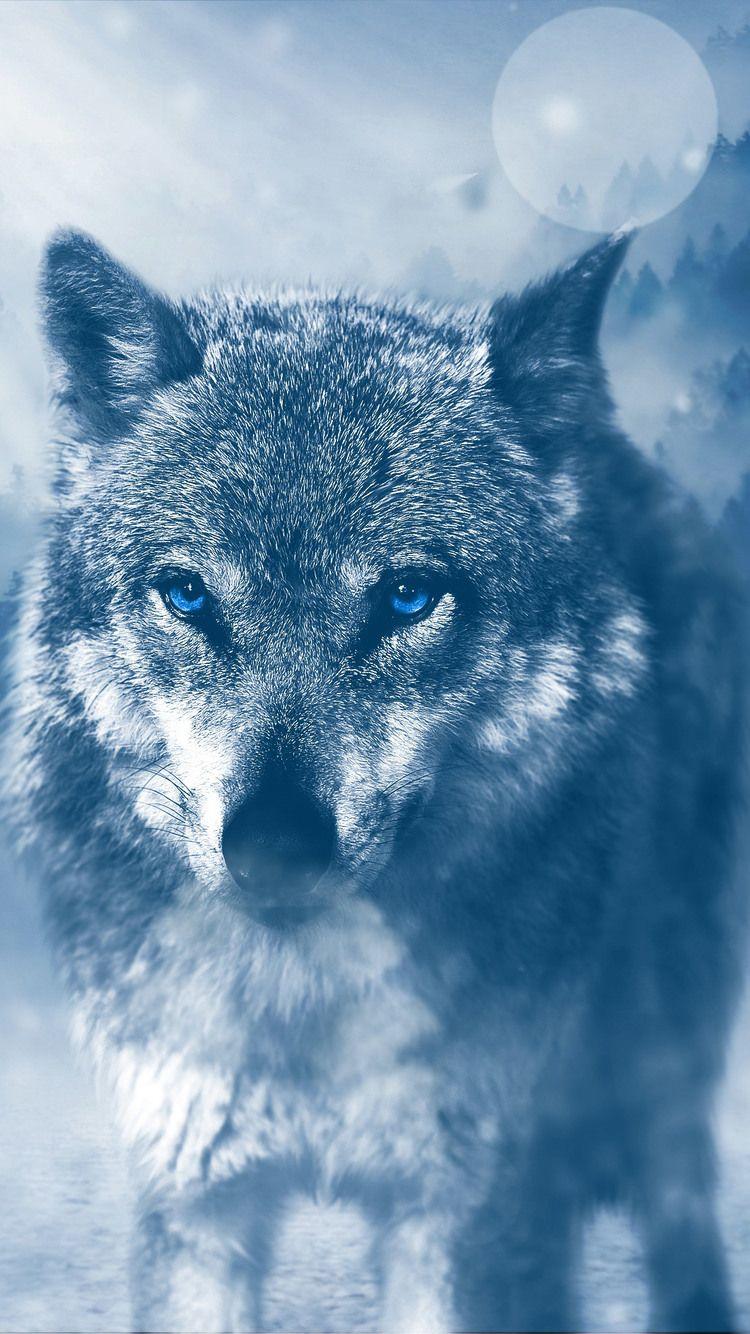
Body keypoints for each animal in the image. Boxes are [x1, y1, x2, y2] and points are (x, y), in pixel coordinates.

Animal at [1, 226, 746, 1333]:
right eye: (188, 594)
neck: (303, 1005)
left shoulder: (465, 1208)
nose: (274, 846)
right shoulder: (196, 1195)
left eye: (407, 596)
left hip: (657, 1050)